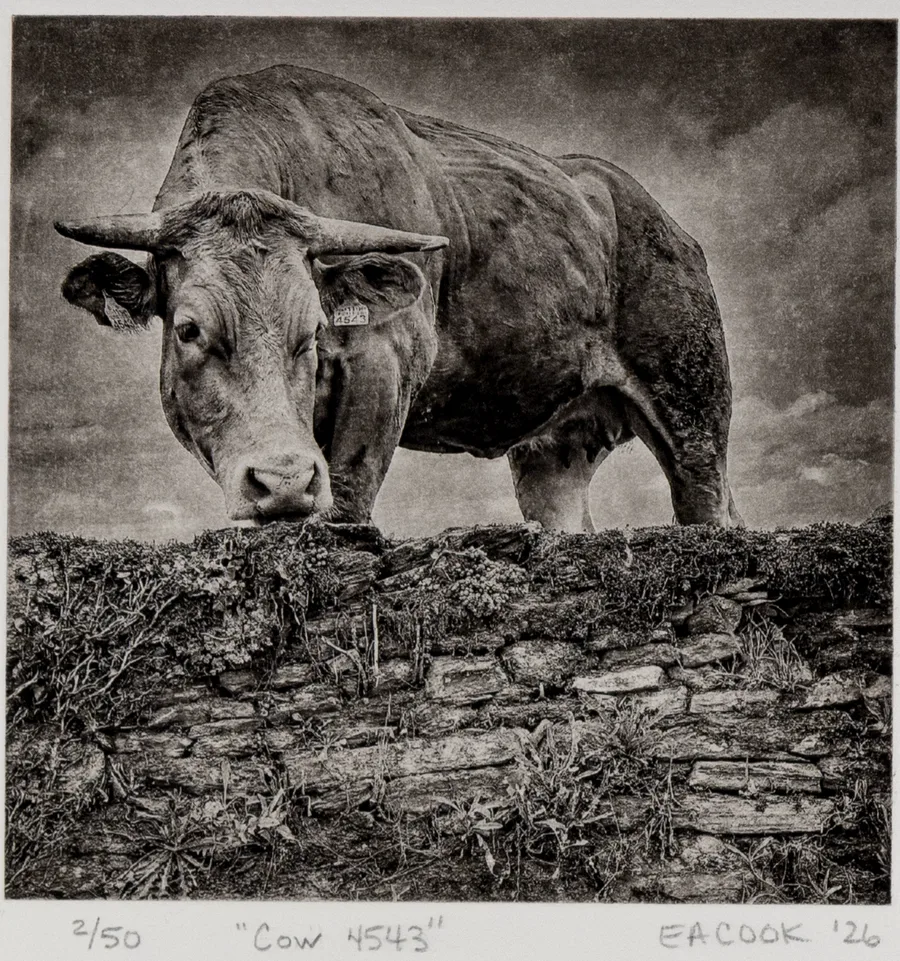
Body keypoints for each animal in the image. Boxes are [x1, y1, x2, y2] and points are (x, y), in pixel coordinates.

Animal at [55, 64, 742, 532]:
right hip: (555, 449)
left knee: (708, 502)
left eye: (313, 331)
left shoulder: (384, 365)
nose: (285, 480)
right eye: (189, 329)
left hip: (693, 405)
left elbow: (348, 497)